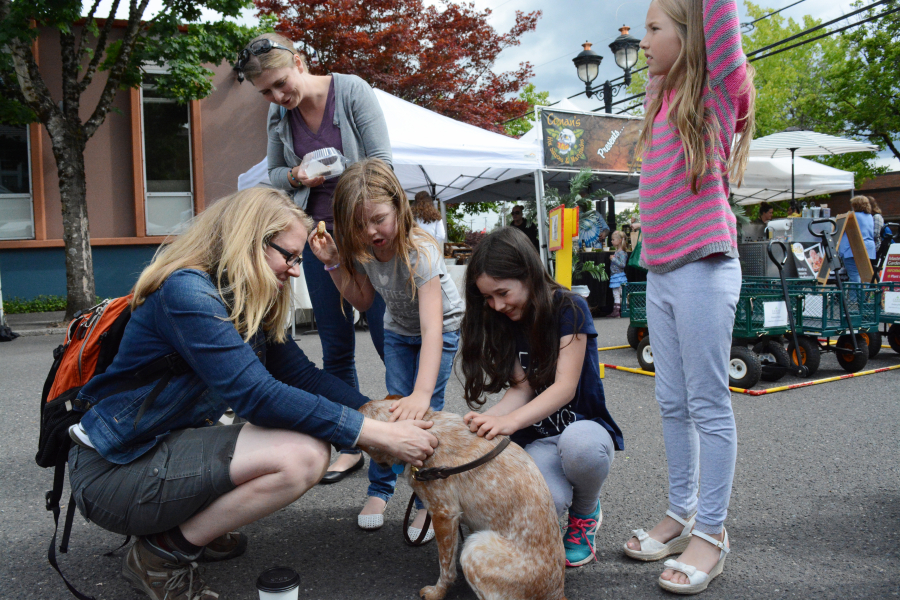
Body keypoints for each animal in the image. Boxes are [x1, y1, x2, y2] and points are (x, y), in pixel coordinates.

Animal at [356, 398, 564, 600]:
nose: (381, 469)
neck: (429, 430)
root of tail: (557, 592)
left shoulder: (443, 514)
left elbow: (446, 567)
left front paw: (437, 592)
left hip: (475, 547)